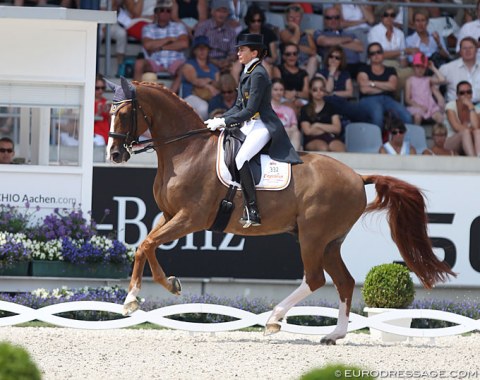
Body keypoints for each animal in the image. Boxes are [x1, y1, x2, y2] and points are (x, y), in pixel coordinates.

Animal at [107, 78, 456, 346]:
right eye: (109, 111)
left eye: (123, 113)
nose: (114, 154)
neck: (186, 151)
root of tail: (358, 177)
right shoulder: (169, 216)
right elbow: (146, 246)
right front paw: (165, 286)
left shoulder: (190, 217)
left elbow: (146, 244)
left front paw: (133, 298)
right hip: (329, 242)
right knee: (344, 281)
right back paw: (334, 334)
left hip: (313, 236)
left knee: (315, 279)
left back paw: (274, 319)